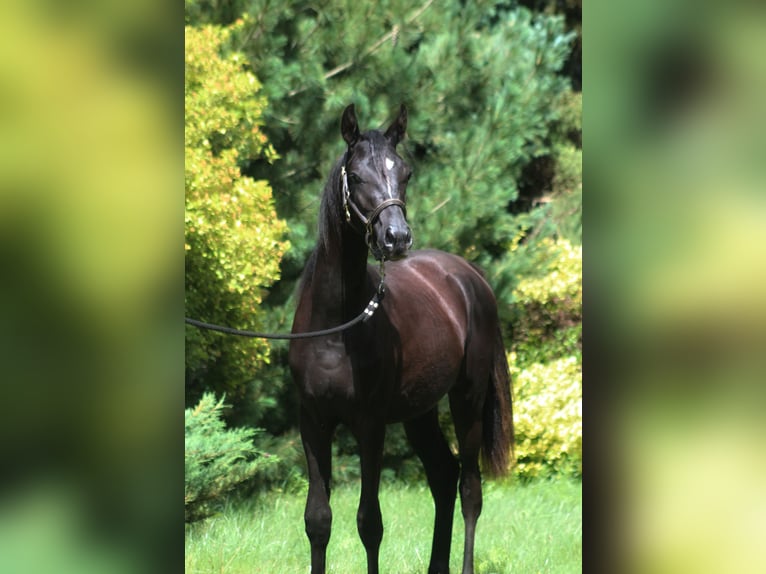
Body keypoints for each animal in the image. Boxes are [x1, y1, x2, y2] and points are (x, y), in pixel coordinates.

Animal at [288, 103, 513, 574]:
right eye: (356, 175)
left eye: (405, 172)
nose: (396, 238)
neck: (336, 328)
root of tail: (468, 275)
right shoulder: (313, 422)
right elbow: (318, 519)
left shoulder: (370, 425)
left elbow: (369, 522)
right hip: (419, 411)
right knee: (444, 476)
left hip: (467, 399)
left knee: (469, 489)